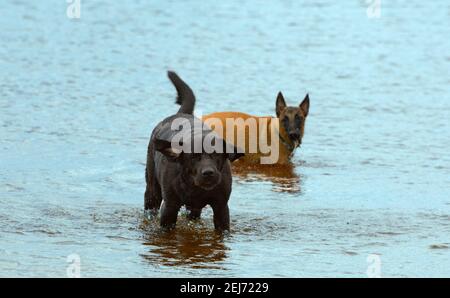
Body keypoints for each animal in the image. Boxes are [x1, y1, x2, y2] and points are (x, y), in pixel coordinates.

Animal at [144, 71, 243, 230]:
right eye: (193, 156)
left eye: (216, 154)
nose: (208, 173)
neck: (196, 188)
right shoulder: (170, 207)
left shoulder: (221, 207)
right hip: (152, 190)